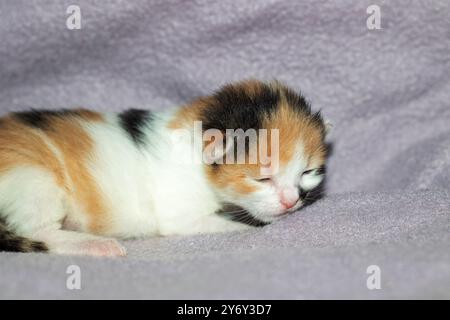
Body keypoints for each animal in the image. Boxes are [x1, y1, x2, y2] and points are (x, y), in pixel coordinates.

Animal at [0, 80, 330, 258]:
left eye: (308, 173)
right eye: (262, 178)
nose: (291, 201)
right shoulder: (181, 213)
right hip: (34, 179)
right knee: (38, 231)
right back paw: (95, 245)